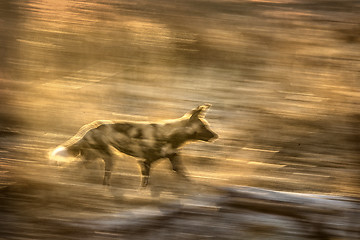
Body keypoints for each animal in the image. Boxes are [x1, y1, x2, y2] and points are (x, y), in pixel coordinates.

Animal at [49, 104, 218, 187]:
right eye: (204, 127)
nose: (216, 136)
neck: (171, 135)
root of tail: (89, 127)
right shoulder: (144, 162)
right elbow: (145, 182)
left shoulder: (167, 160)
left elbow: (184, 175)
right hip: (106, 157)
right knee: (74, 169)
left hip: (99, 158)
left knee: (88, 171)